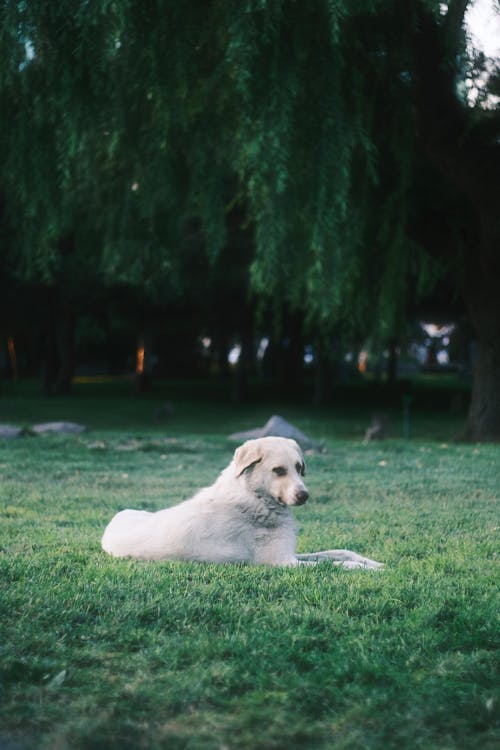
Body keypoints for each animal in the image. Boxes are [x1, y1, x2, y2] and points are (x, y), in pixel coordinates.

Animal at [101, 434, 382, 568]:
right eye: (278, 470)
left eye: (299, 467)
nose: (304, 496)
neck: (254, 496)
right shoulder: (284, 562)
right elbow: (337, 564)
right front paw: (368, 570)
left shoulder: (291, 554)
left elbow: (339, 552)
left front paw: (373, 562)